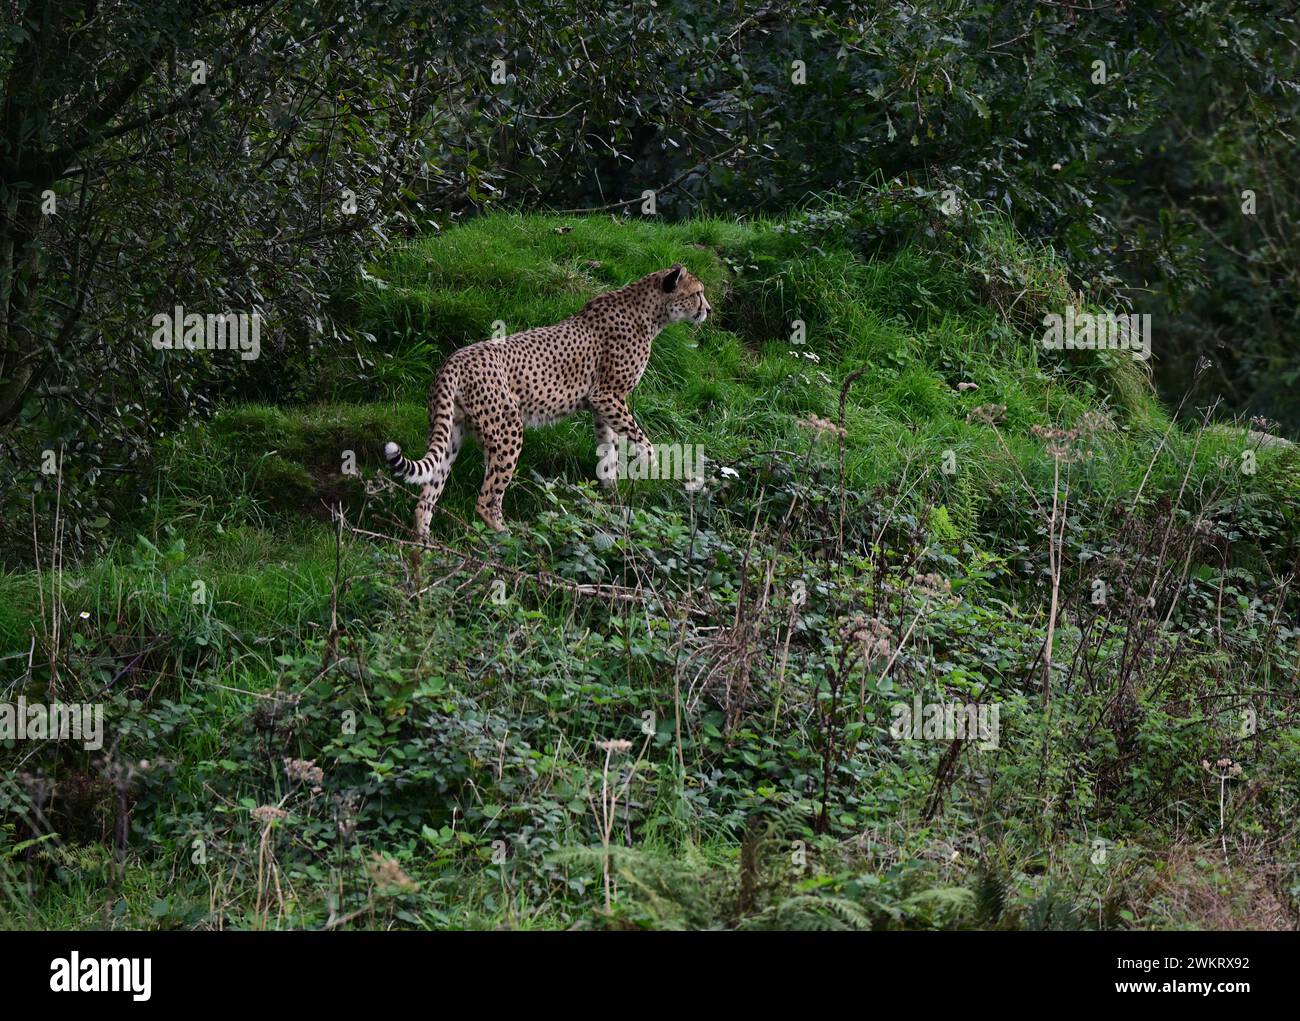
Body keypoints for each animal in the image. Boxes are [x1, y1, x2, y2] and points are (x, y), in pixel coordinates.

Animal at [382, 262, 712, 538]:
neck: (649, 312)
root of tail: (454, 360)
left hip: (453, 433)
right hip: (508, 431)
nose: (707, 309)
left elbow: (609, 453)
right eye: (697, 293)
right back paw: (510, 538)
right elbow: (643, 440)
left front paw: (612, 500)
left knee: (426, 498)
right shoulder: (608, 396)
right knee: (487, 499)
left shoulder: (602, 408)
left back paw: (424, 550)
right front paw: (653, 467)